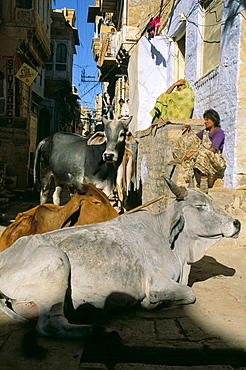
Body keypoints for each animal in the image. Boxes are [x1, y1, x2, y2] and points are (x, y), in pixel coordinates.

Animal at [0, 178, 240, 340]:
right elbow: (189, 294)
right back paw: (98, 329)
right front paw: (154, 303)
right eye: (201, 206)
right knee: (51, 325)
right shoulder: (157, 283)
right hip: (56, 262)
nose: (236, 223)